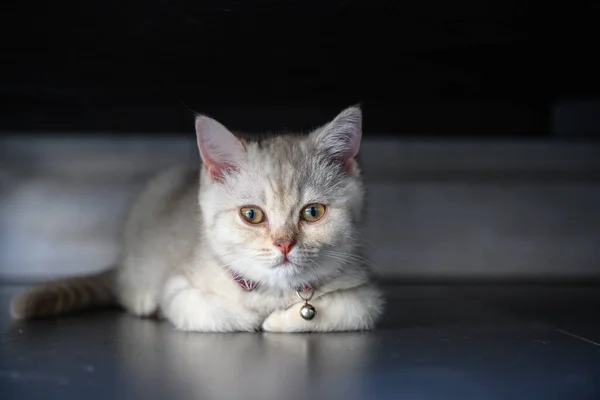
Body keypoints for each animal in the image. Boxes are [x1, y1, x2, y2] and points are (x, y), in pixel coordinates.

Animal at [10, 105, 384, 332]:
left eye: (312, 212)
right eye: (252, 215)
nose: (284, 244)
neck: (272, 291)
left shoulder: (364, 292)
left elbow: (351, 311)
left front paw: (279, 321)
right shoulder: (178, 288)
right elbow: (212, 313)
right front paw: (252, 317)